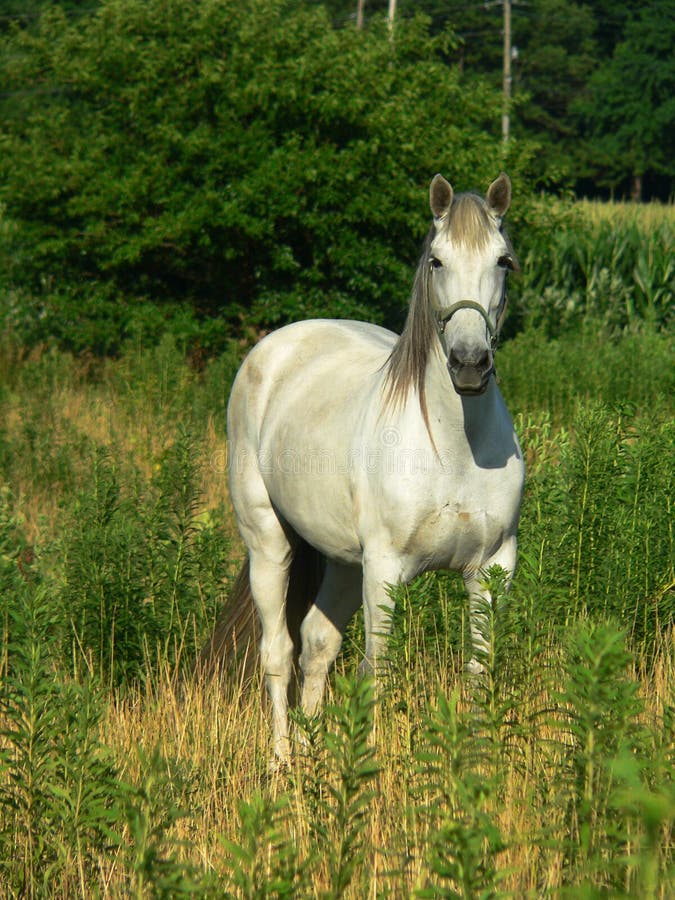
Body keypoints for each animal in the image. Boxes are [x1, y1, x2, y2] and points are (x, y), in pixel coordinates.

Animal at [203, 174, 524, 760]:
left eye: (503, 261)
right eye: (437, 261)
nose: (469, 364)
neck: (453, 448)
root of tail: (273, 348)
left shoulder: (492, 568)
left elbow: (478, 671)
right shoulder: (386, 570)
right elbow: (380, 671)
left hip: (344, 562)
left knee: (317, 644)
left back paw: (309, 757)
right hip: (269, 544)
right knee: (278, 651)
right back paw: (281, 763)